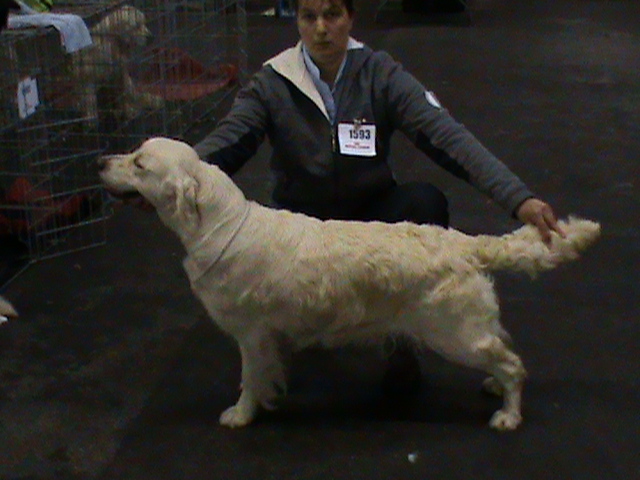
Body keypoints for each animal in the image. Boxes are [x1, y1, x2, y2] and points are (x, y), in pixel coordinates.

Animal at [99, 137, 600, 430]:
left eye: (139, 163)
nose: (101, 160)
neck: (219, 224)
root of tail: (466, 243)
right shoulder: (264, 335)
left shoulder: (251, 332)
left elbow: (249, 377)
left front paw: (241, 414)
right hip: (469, 329)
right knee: (503, 351)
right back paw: (495, 386)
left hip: (453, 332)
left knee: (514, 365)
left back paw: (508, 415)